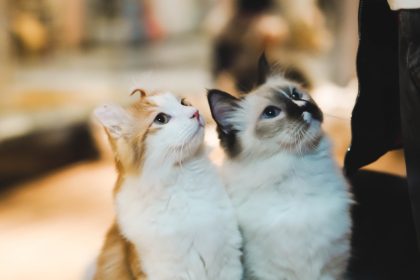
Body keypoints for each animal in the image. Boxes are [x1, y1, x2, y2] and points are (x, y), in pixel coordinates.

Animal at [207, 55, 352, 280]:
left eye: (295, 94)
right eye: (271, 112)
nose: (304, 107)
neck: (298, 170)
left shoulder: (331, 268)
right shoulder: (267, 272)